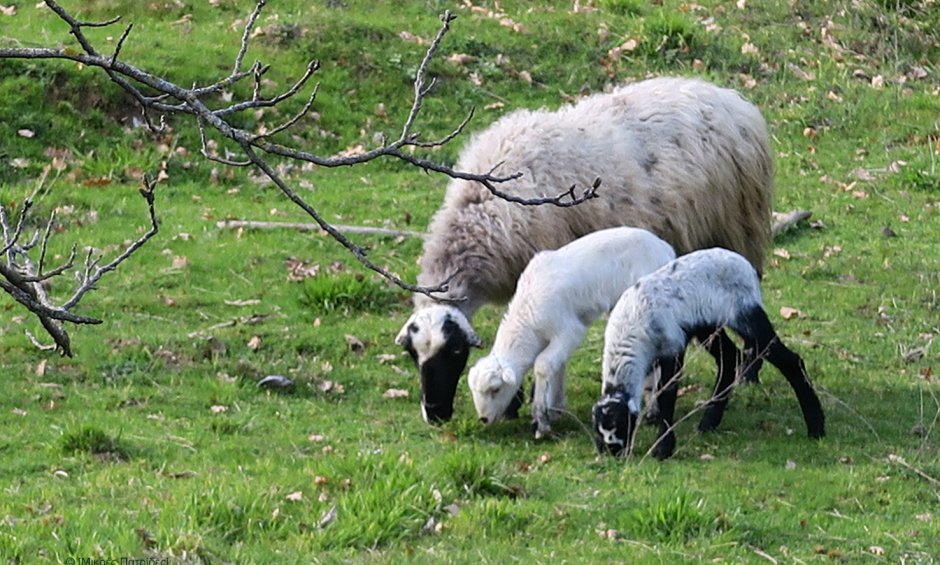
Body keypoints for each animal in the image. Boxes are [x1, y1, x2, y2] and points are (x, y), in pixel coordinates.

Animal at [468, 225, 676, 436]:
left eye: (496, 389)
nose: (484, 419)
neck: (527, 318)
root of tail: (665, 249)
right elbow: (557, 365)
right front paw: (555, 408)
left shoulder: (569, 330)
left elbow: (542, 365)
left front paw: (541, 420)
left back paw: (653, 410)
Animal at [596, 248, 824, 458]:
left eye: (620, 427)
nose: (614, 453)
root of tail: (746, 265)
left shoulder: (673, 345)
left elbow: (667, 395)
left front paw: (663, 448)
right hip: (708, 325)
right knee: (730, 359)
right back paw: (709, 422)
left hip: (746, 314)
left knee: (791, 361)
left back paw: (816, 427)